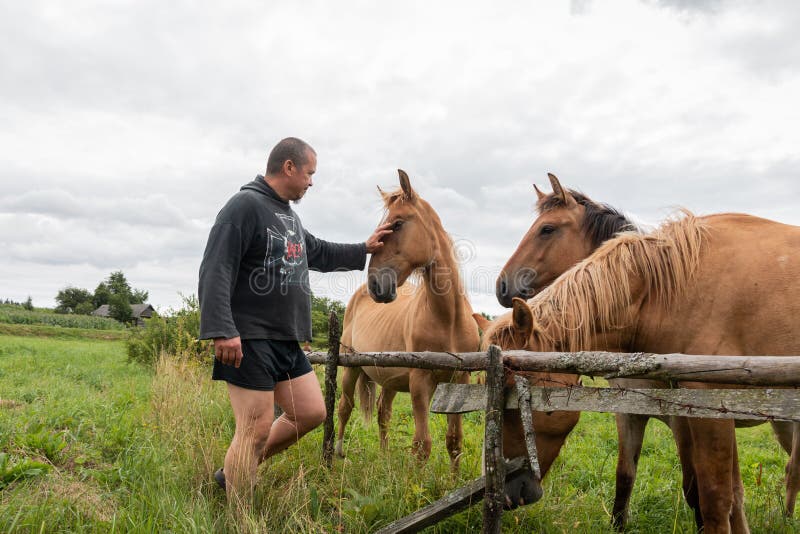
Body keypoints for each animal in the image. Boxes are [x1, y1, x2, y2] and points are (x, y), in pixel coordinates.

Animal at [334, 170, 478, 472]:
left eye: (398, 223)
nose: (376, 285)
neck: (448, 320)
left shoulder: (460, 379)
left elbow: (454, 441)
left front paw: (455, 480)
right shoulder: (420, 382)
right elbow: (422, 445)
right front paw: (416, 481)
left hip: (389, 381)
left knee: (383, 413)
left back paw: (384, 457)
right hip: (351, 367)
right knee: (344, 407)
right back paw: (338, 452)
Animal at [496, 177, 796, 532]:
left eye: (547, 229)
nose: (502, 286)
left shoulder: (693, 413)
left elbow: (707, 493)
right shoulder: (630, 413)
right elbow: (627, 476)